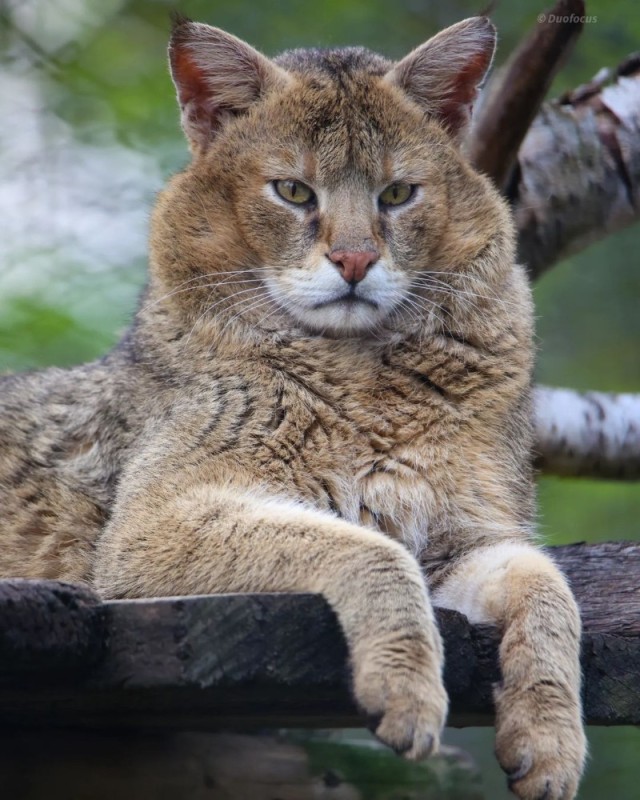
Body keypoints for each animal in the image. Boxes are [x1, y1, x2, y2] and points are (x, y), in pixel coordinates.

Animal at [0, 14, 588, 800]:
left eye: (398, 194)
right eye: (293, 192)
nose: (355, 262)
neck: (365, 378)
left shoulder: (471, 535)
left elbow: (550, 588)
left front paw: (552, 741)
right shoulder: (150, 528)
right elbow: (369, 548)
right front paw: (406, 688)